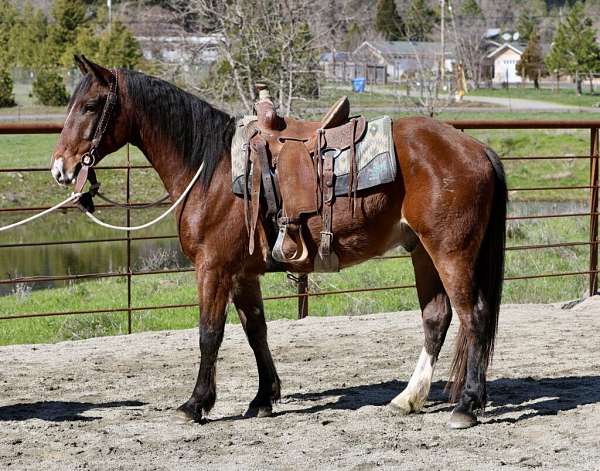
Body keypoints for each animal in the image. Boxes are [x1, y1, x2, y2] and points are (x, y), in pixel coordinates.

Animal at [50, 57, 506, 430]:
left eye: (90, 106)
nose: (60, 168)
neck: (212, 170)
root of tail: (476, 148)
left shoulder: (213, 268)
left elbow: (209, 334)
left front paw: (196, 404)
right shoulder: (241, 274)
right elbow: (256, 331)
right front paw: (262, 399)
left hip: (450, 253)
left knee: (475, 317)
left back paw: (466, 406)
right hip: (422, 252)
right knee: (437, 318)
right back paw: (409, 399)